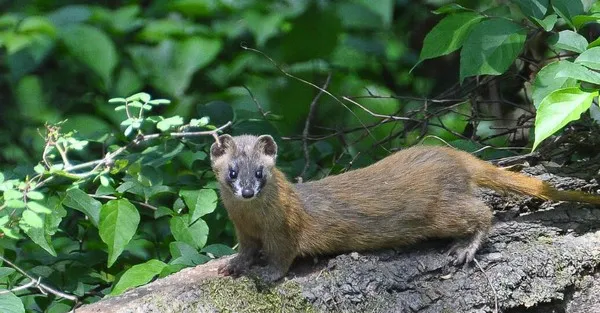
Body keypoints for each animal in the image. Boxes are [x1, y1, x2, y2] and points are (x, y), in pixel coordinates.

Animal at [210, 133, 600, 280]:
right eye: (232, 171)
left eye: (260, 171)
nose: (247, 191)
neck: (253, 220)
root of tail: (454, 155)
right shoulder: (243, 231)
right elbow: (246, 250)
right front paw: (233, 265)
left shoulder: (285, 229)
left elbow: (282, 256)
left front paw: (266, 274)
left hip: (441, 210)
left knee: (483, 212)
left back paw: (464, 249)